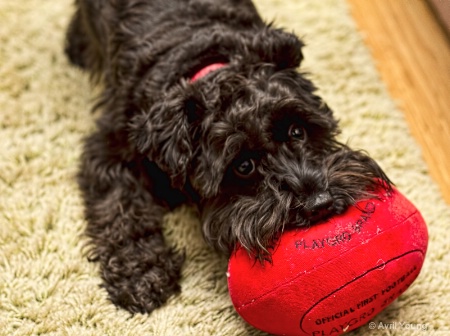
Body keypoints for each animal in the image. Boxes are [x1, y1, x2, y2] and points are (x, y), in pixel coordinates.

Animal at [66, 0, 390, 316]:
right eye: (244, 166)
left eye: (297, 131)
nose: (319, 204)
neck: (204, 65)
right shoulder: (110, 150)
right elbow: (122, 209)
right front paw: (142, 273)